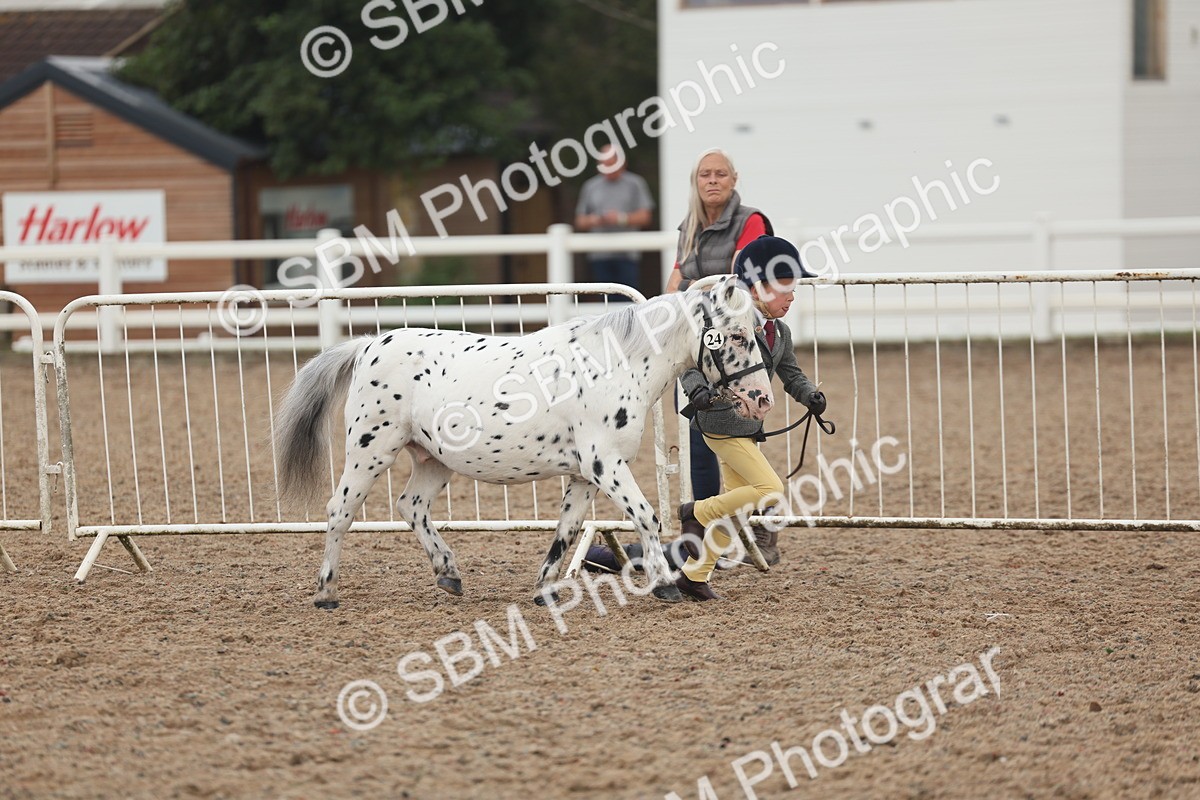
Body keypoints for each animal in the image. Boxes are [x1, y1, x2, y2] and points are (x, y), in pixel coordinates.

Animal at [274, 275, 774, 608]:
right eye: (735, 335)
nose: (762, 400)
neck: (615, 364)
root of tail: (366, 346)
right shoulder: (606, 465)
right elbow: (647, 517)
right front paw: (666, 584)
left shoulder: (585, 476)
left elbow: (566, 531)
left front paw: (545, 589)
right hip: (370, 450)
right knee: (340, 511)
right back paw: (326, 592)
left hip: (433, 460)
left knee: (410, 506)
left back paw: (449, 574)